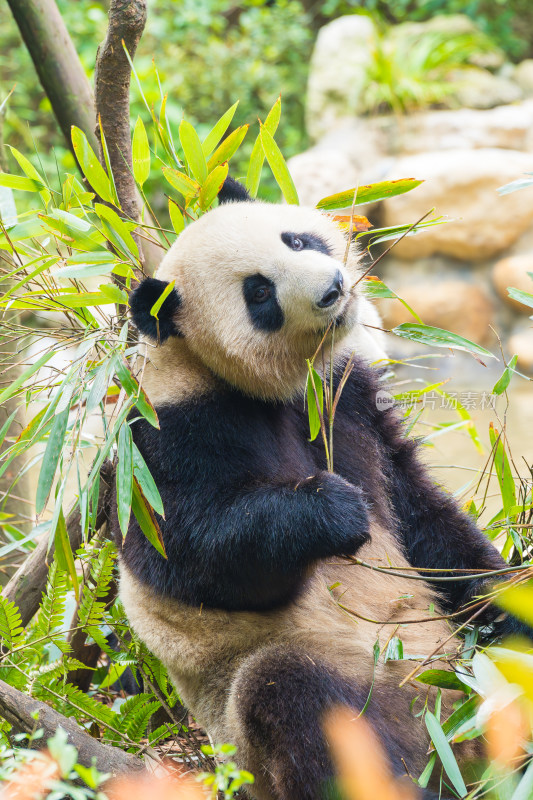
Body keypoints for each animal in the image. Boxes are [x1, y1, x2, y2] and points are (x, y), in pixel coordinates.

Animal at [114, 178, 524, 796]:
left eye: (297, 239)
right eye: (259, 292)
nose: (332, 289)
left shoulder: (342, 394)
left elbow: (423, 516)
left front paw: (508, 601)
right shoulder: (166, 435)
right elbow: (189, 552)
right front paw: (334, 510)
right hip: (317, 702)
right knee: (295, 698)